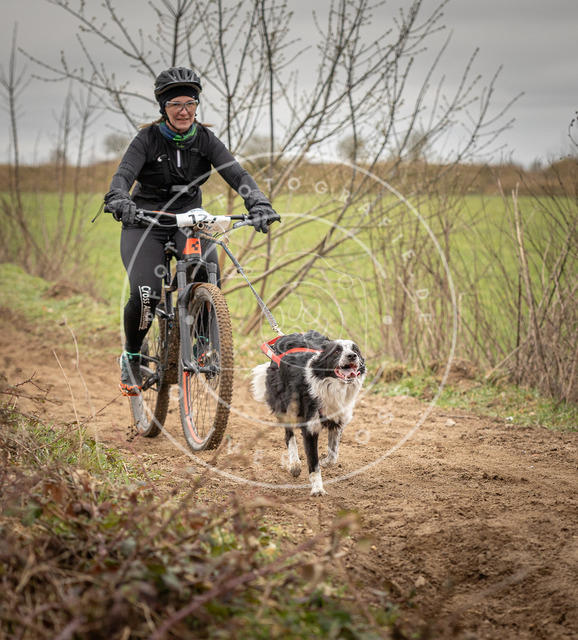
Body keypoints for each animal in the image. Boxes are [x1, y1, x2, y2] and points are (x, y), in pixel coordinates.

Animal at [251, 330, 366, 496]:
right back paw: (294, 464)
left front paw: (325, 462)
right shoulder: (310, 427)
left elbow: (333, 456)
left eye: (355, 350)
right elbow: (313, 462)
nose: (352, 356)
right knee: (289, 436)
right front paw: (317, 489)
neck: (332, 386)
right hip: (287, 407)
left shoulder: (338, 420)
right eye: (336, 351)